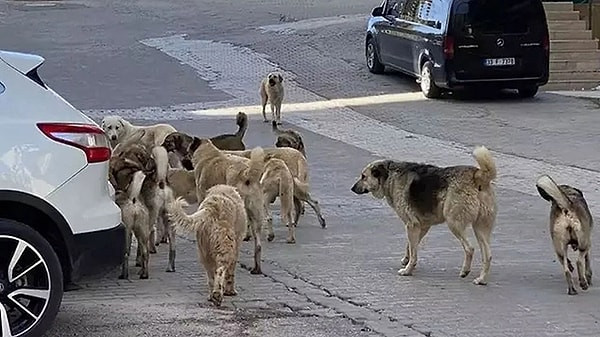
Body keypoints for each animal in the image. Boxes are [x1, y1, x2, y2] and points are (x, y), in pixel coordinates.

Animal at [352, 144, 496, 284]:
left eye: (363, 177)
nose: (352, 189)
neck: (390, 175)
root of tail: (477, 175)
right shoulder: (422, 226)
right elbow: (411, 247)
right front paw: (406, 260)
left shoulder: (411, 225)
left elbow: (413, 251)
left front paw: (407, 270)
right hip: (480, 228)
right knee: (488, 255)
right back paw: (481, 279)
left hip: (454, 223)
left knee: (469, 248)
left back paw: (465, 271)